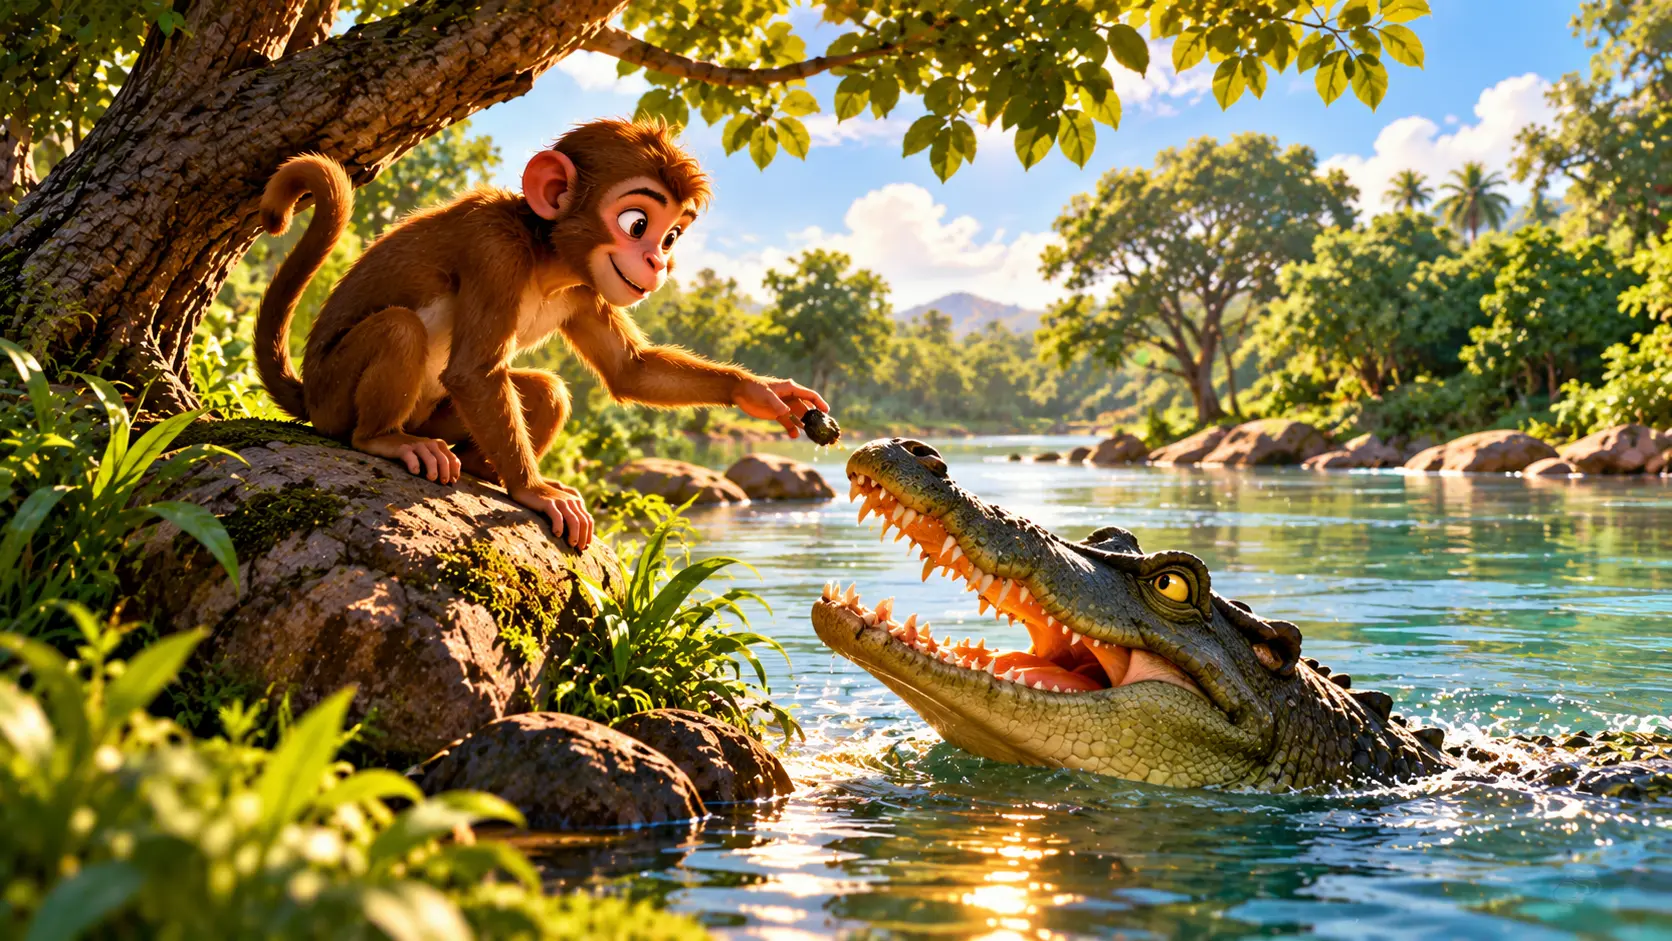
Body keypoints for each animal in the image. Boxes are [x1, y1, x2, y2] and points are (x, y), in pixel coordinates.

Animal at [253, 118, 827, 551]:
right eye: (638, 224)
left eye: (671, 236)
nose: (658, 263)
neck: (544, 255)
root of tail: (307, 392)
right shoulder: (494, 249)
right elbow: (474, 372)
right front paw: (532, 491)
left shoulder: (587, 289)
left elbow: (631, 371)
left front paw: (762, 392)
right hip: (334, 396)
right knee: (398, 330)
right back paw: (384, 440)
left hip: (432, 414)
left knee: (547, 390)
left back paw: (484, 471)